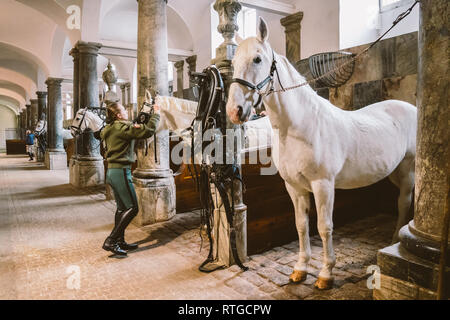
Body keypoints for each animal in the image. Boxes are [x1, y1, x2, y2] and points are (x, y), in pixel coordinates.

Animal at [227, 17, 416, 290]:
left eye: (257, 59)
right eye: (232, 63)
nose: (235, 111)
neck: (299, 126)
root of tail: (410, 106)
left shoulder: (323, 185)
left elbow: (324, 227)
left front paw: (326, 274)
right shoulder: (294, 187)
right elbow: (302, 225)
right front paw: (300, 269)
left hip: (409, 170)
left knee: (404, 201)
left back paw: (394, 239)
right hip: (394, 170)